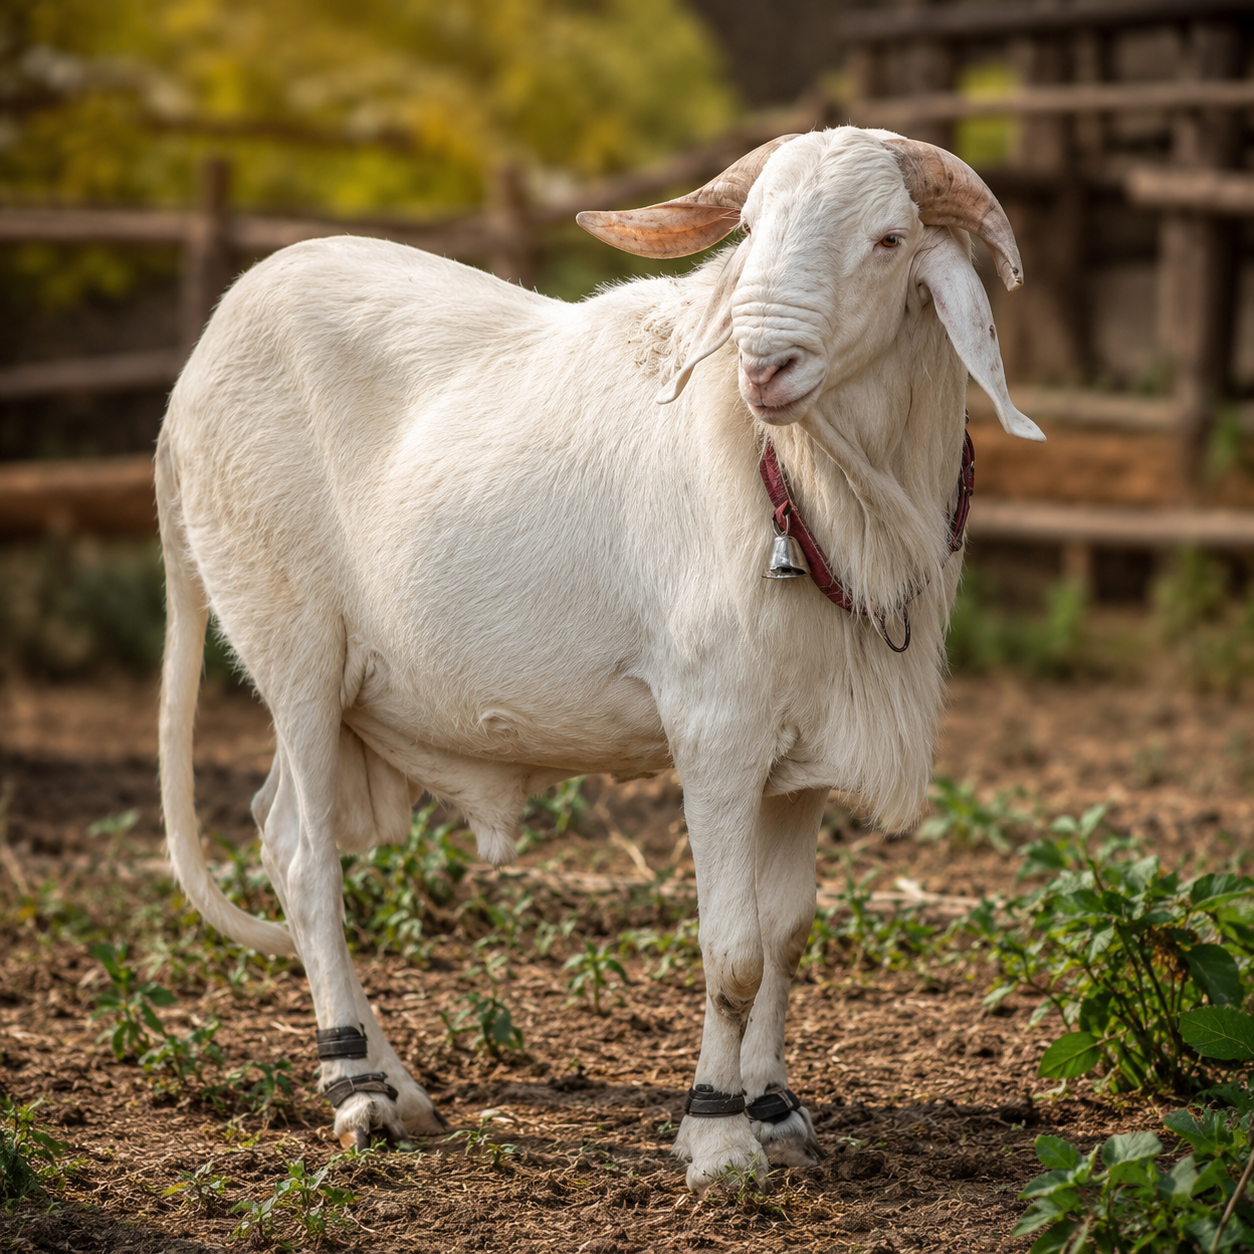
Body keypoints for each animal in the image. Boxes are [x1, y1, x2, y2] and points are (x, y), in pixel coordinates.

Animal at [157, 125, 1041, 1194]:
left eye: (889, 238)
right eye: (752, 229)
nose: (765, 364)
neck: (809, 486)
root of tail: (194, 373)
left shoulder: (801, 757)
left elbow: (786, 933)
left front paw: (779, 1114)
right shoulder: (716, 735)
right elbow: (733, 951)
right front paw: (718, 1139)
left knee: (275, 831)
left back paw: (399, 1087)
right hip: (293, 652)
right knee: (302, 854)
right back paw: (361, 1095)